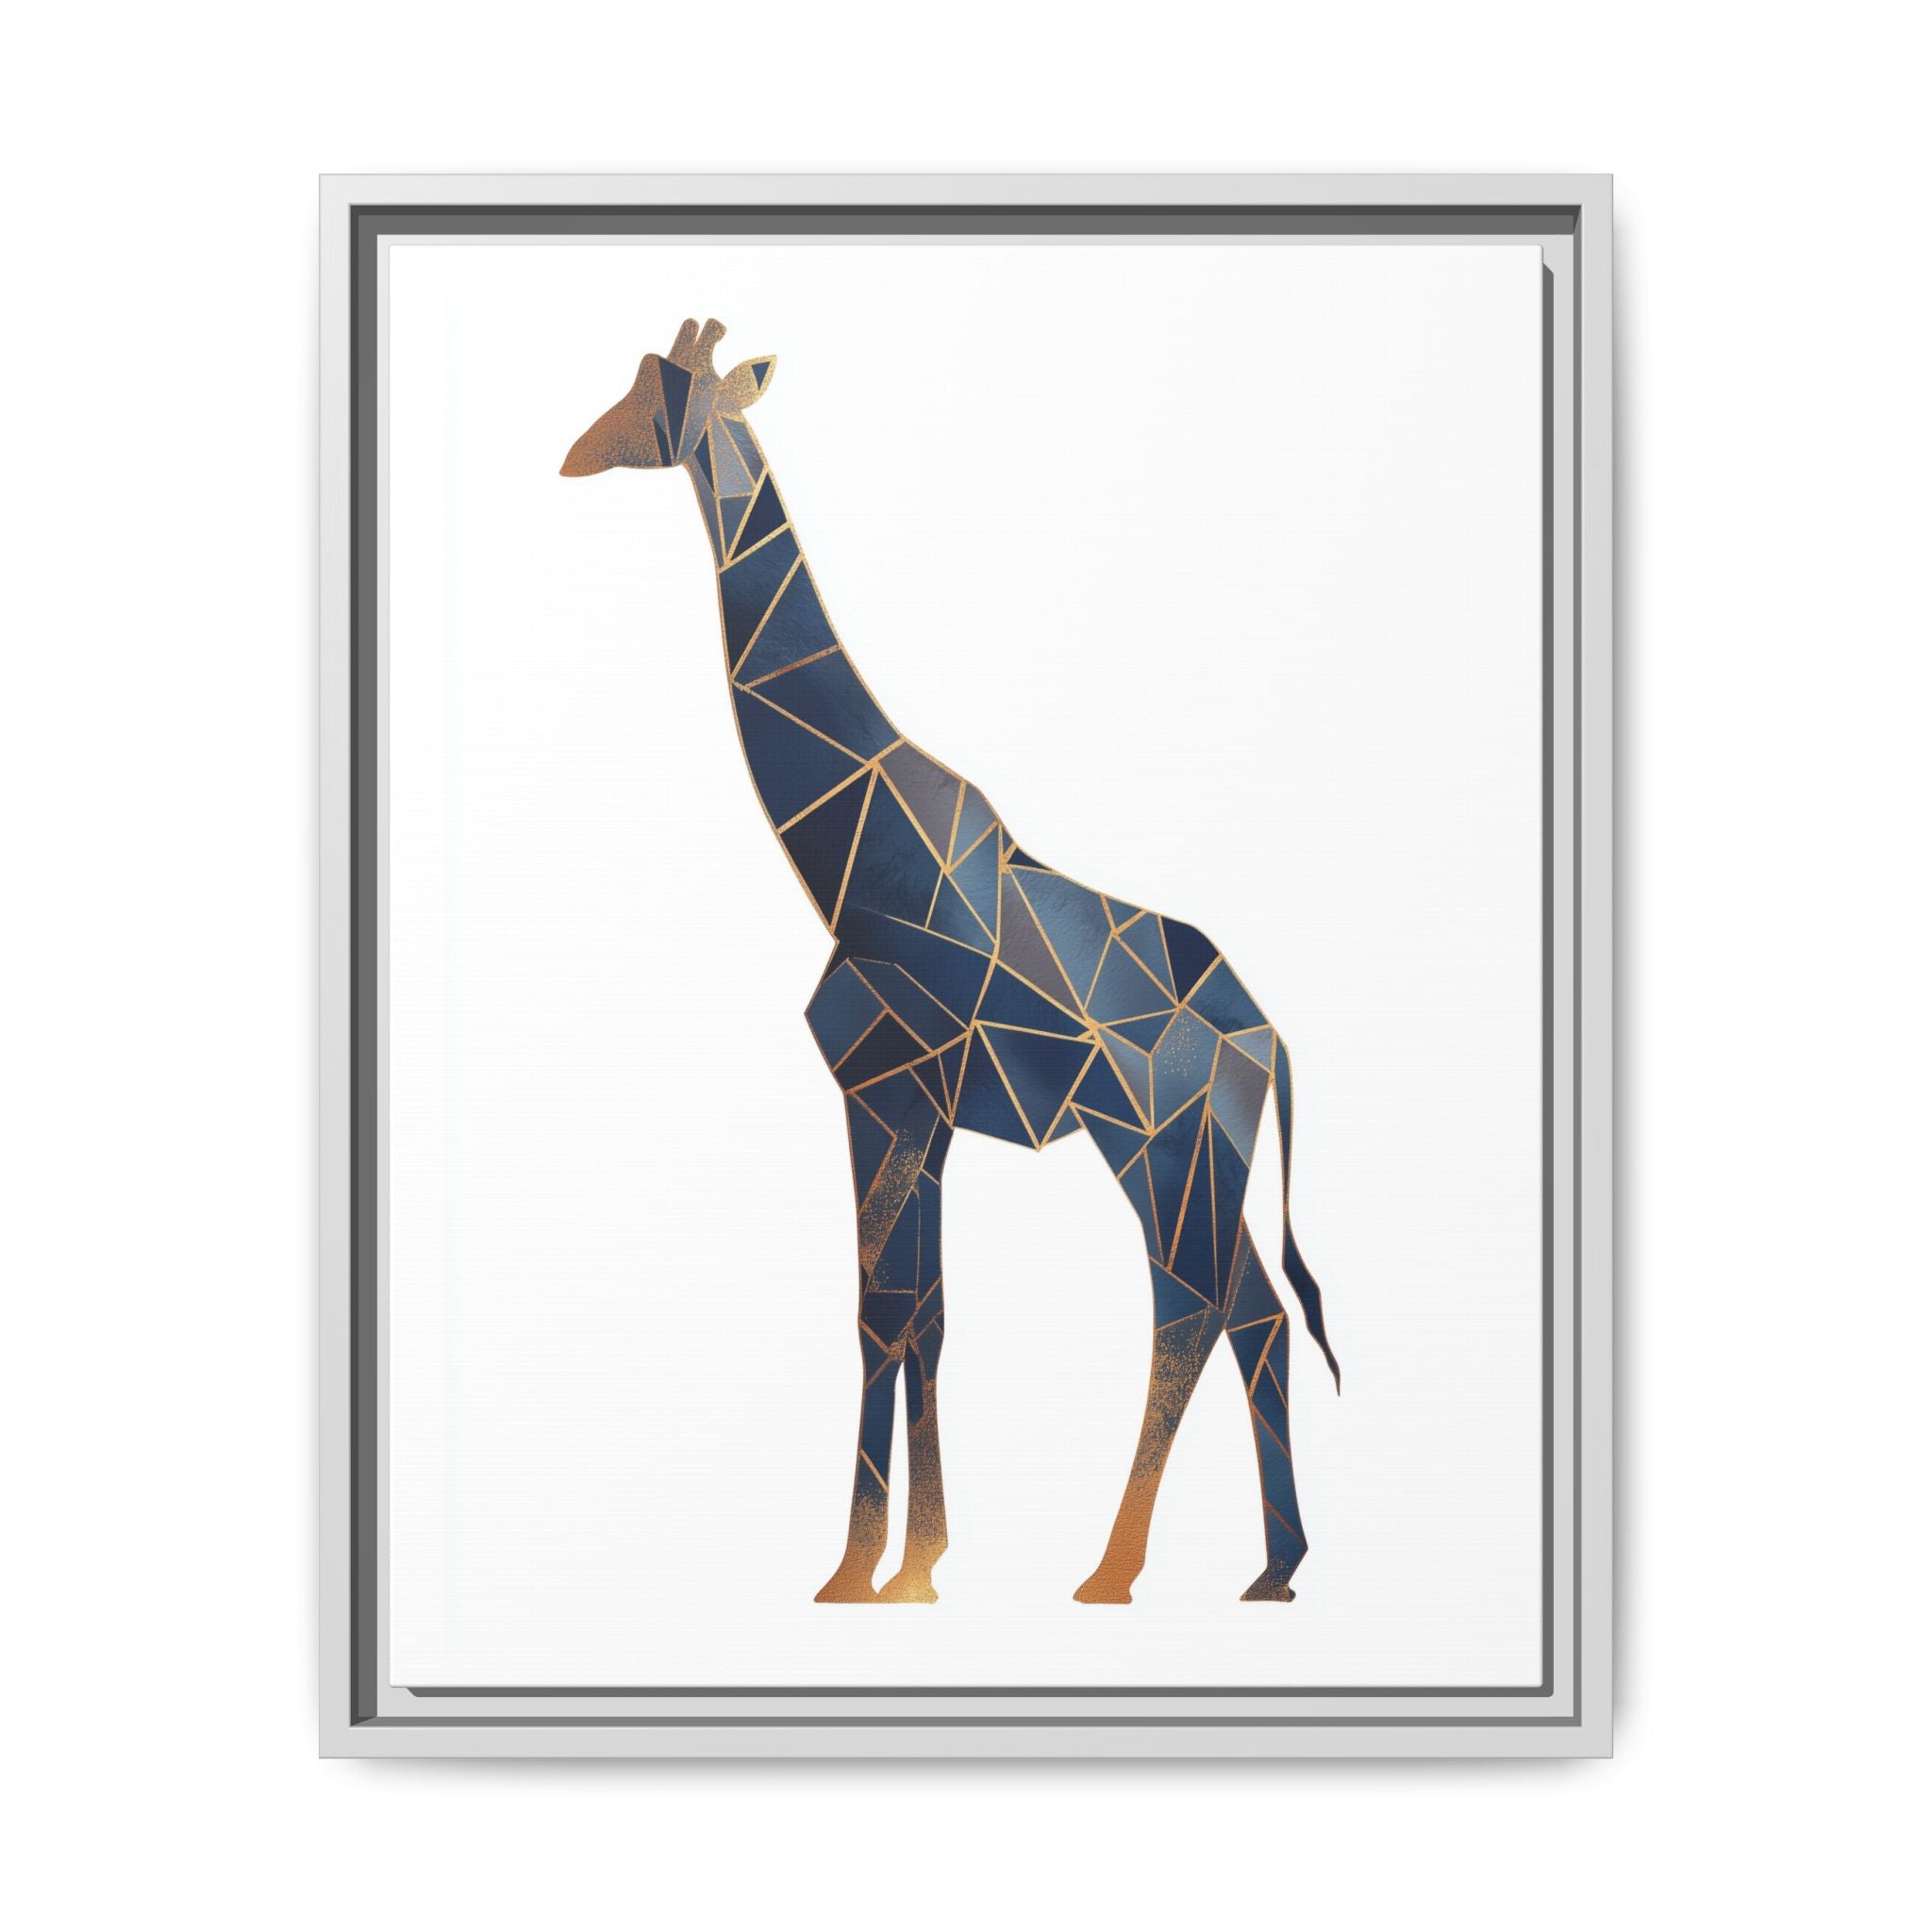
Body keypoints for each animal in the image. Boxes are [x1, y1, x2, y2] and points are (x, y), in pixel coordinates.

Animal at [562, 317, 1339, 1606]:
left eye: (661, 396)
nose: (576, 452)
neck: (848, 856)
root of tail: (1267, 1037)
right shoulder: (911, 1109)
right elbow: (914, 1313)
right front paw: (898, 1564)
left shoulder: (885, 1089)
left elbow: (886, 1313)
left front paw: (872, 1569)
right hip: (1196, 1156)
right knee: (1252, 1314)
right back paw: (1269, 1568)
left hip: (1158, 1145)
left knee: (1193, 1309)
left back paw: (1116, 1570)